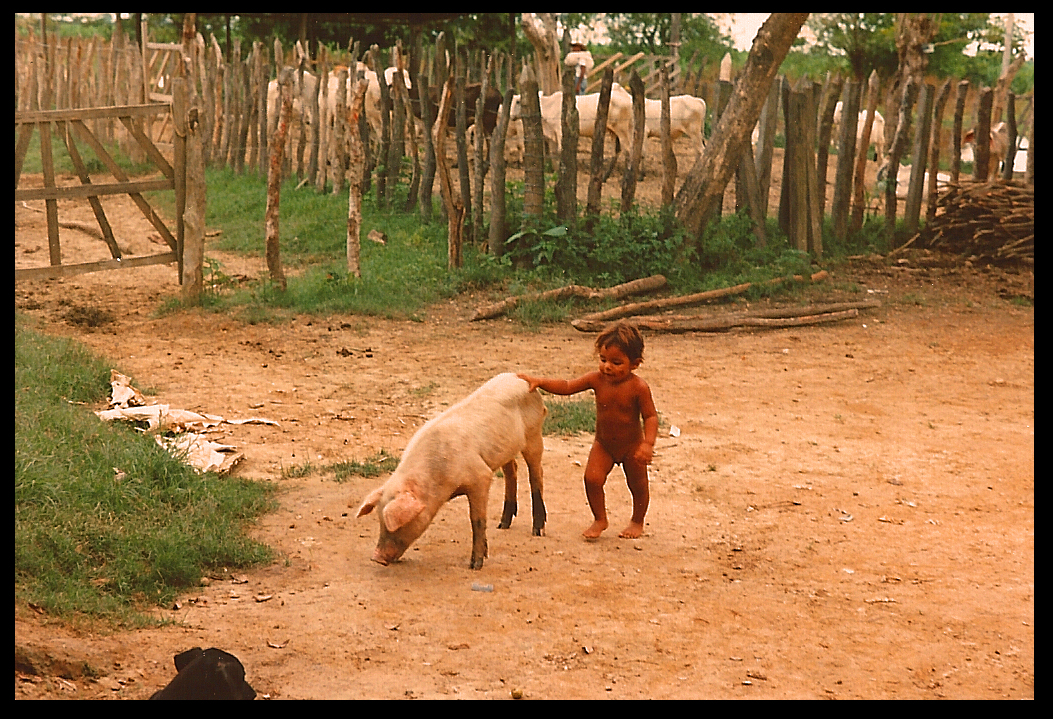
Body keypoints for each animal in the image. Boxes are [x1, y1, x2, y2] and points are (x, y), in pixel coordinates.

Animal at [354, 373, 547, 570]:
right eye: (379, 521)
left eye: (397, 523)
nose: (376, 557)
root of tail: (521, 378)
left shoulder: (481, 475)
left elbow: (477, 520)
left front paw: (475, 565)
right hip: (504, 448)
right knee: (512, 471)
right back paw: (503, 525)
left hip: (534, 434)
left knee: (536, 473)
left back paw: (537, 530)